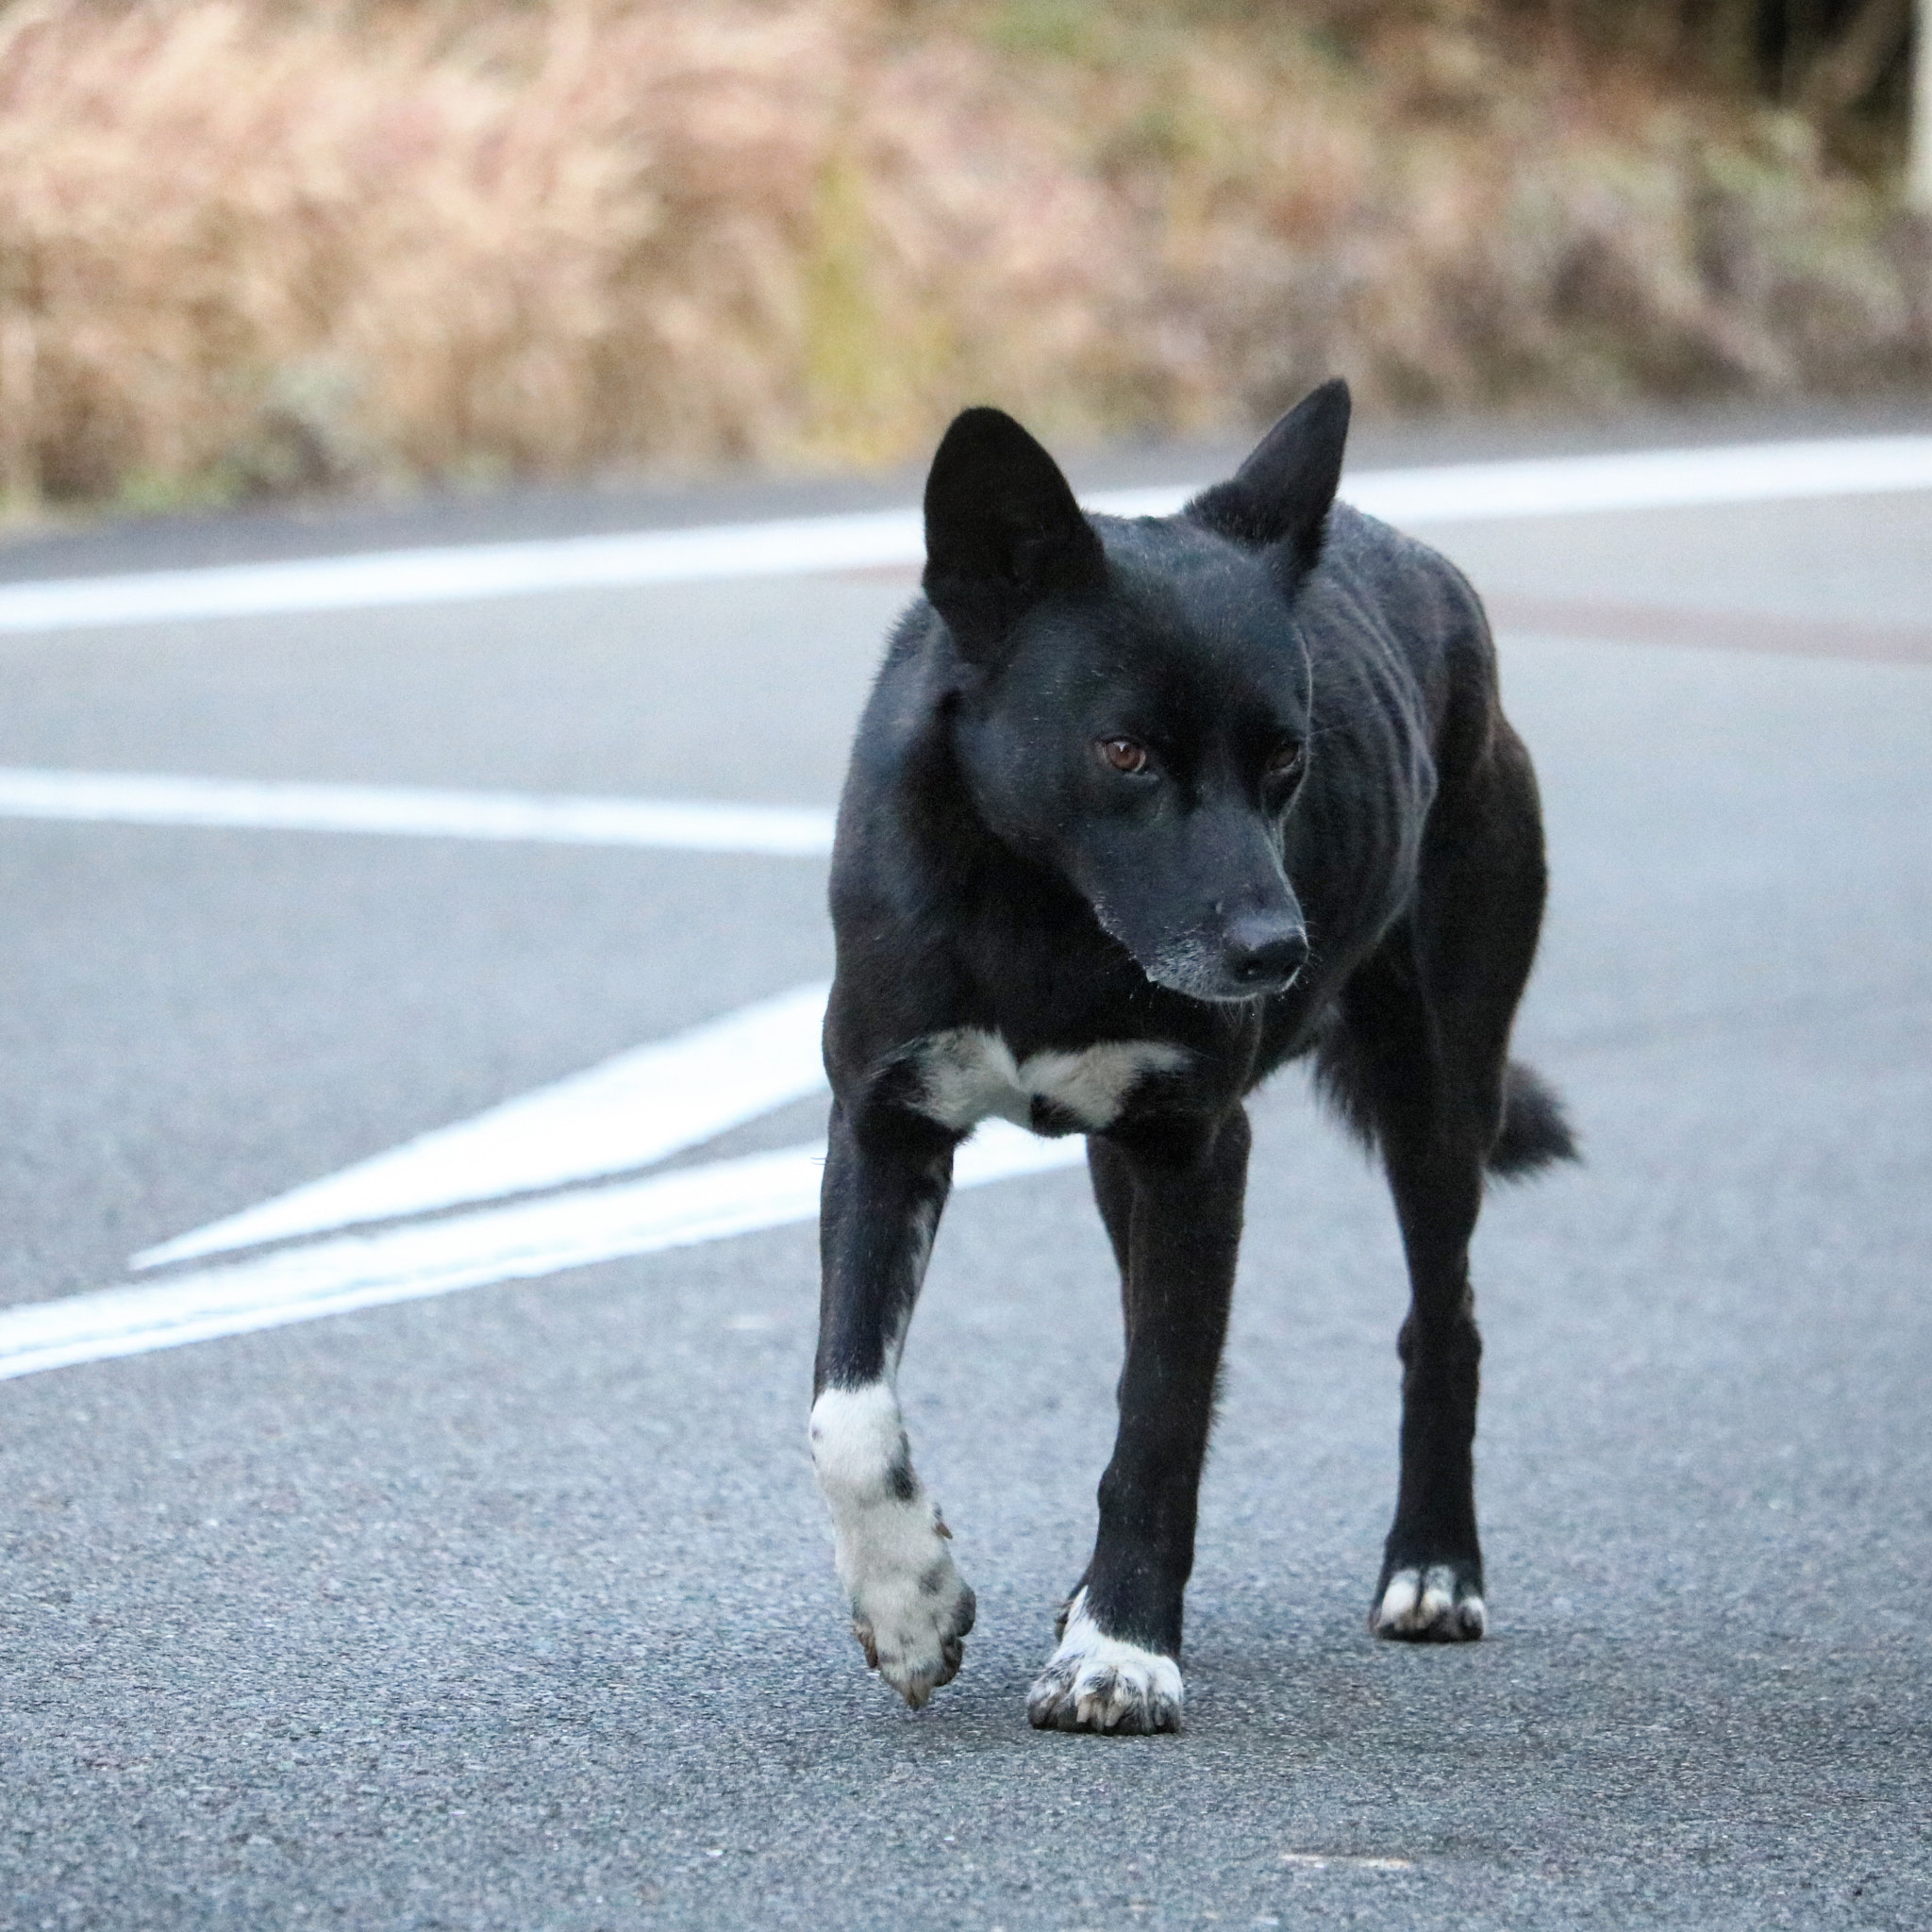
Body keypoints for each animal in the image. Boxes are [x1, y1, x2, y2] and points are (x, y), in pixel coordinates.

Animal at [808, 376, 1576, 1739]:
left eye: (1285, 758)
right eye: (1124, 753)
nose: (1278, 951)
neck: (1042, 910)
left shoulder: (1196, 1149)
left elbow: (1158, 1411)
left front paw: (1120, 1651)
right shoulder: (883, 1121)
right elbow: (848, 1409)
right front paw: (909, 1605)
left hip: (1437, 1092)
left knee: (1442, 1322)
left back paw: (1434, 1565)